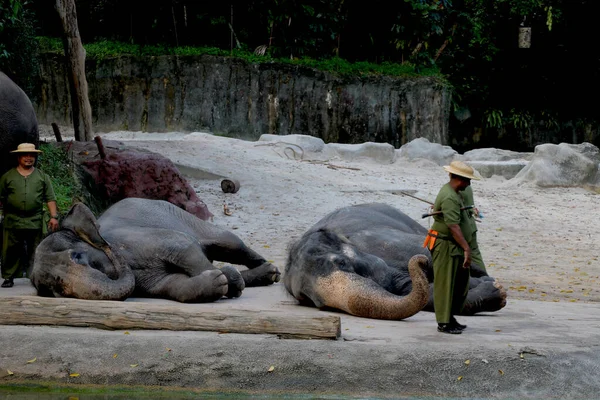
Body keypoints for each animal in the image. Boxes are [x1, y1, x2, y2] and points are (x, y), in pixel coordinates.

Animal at [32, 197, 284, 304]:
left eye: (77, 257)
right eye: (56, 290)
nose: (107, 247)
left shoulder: (139, 239)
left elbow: (183, 246)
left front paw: (231, 281)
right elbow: (173, 285)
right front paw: (220, 282)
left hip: (182, 215)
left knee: (230, 242)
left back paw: (272, 271)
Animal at [284, 203, 506, 318]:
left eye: (341, 263)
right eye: (311, 300)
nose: (420, 263)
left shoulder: (387, 244)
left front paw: (495, 286)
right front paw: (495, 290)